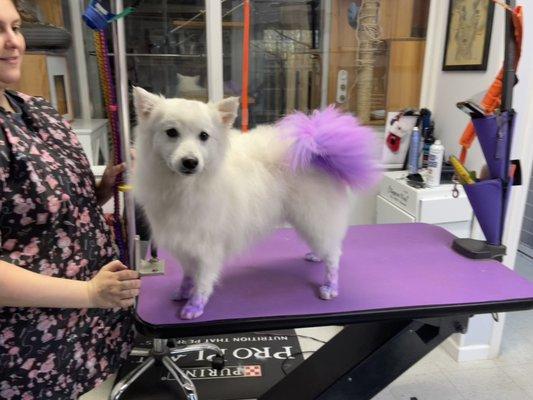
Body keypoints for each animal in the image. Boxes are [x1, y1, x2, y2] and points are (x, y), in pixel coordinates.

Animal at [131, 87, 376, 318]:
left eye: (204, 136)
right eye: (171, 132)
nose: (190, 161)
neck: (184, 186)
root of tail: (316, 149)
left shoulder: (208, 247)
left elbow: (203, 281)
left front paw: (194, 306)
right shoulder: (185, 243)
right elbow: (189, 275)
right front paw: (183, 292)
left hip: (314, 218)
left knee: (334, 255)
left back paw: (330, 286)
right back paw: (316, 255)